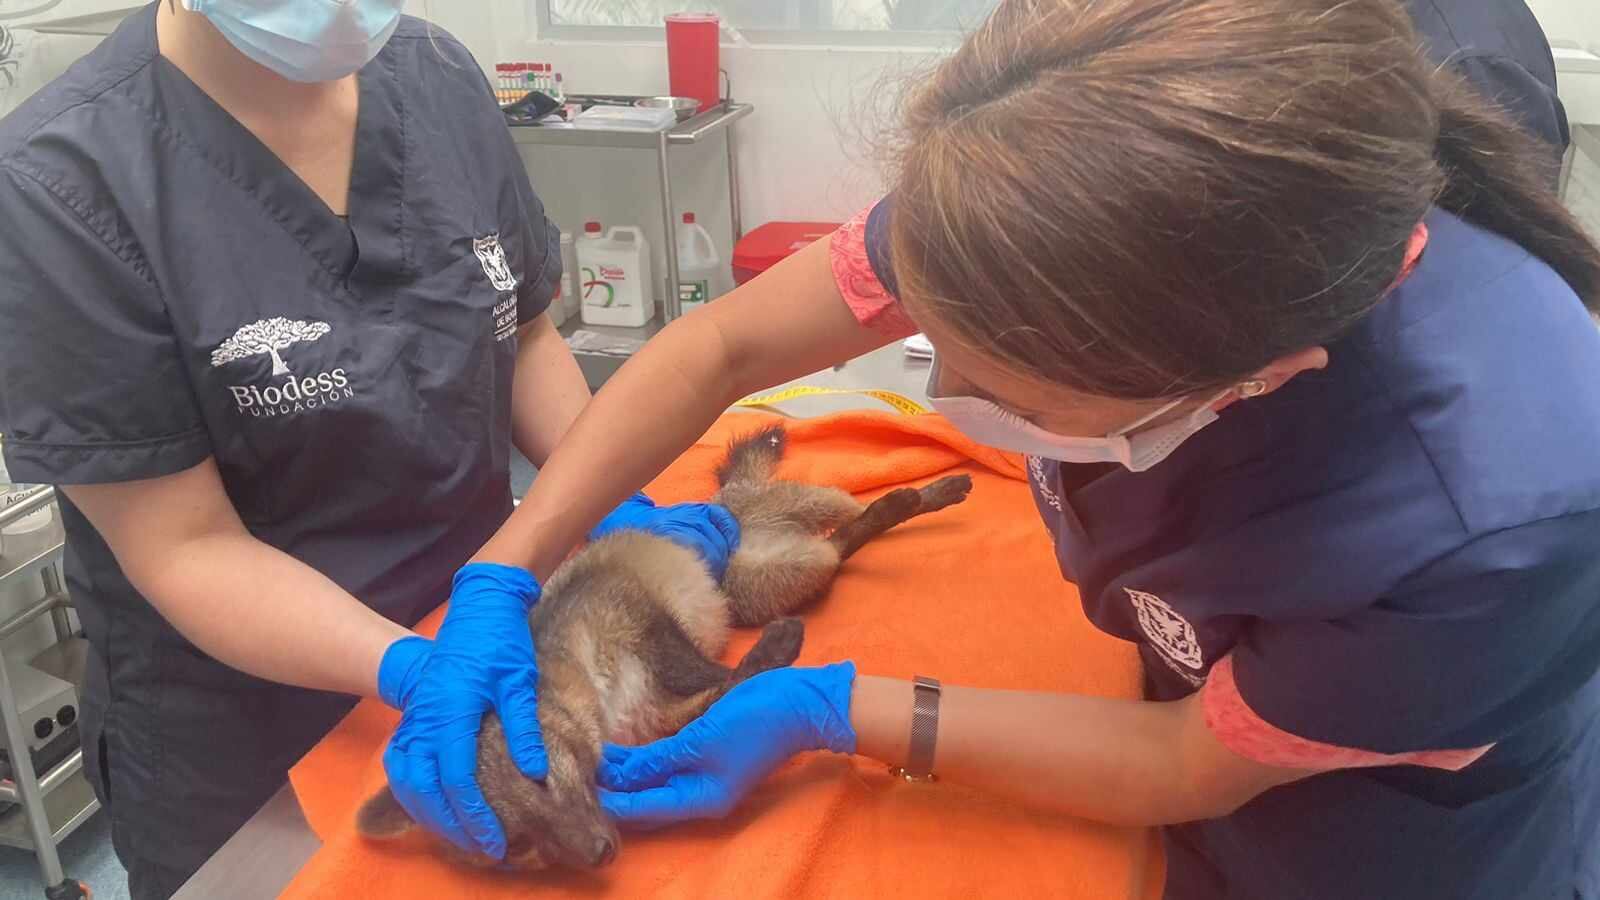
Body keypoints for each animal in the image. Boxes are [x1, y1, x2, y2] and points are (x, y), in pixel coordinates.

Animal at [355, 424, 971, 871]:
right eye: (517, 846)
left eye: (545, 778)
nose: (599, 855)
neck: (602, 699)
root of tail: (735, 508)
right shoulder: (656, 717)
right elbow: (721, 695)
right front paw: (766, 678)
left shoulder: (637, 613)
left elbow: (707, 670)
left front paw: (770, 663)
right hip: (783, 578)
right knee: (845, 542)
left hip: (797, 518)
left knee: (852, 511)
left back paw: (927, 494)